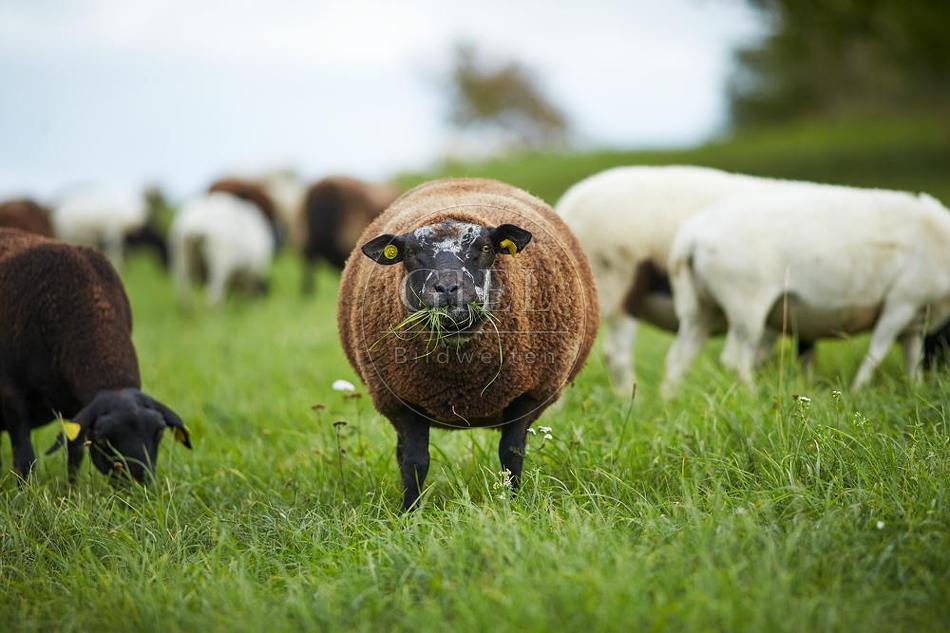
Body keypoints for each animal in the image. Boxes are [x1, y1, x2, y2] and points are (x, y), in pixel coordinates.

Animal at [0, 228, 191, 482]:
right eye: (102, 439)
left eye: (159, 432)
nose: (139, 483)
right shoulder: (12, 395)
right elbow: (24, 459)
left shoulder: (78, 406)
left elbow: (75, 454)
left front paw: (72, 488)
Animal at [338, 177, 599, 509]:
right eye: (410, 253)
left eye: (486, 247)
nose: (448, 288)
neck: (462, 379)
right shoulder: (402, 399)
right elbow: (414, 461)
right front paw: (409, 512)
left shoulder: (527, 395)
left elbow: (511, 455)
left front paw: (512, 504)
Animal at [660, 185, 950, 396]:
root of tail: (690, 236)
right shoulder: (903, 301)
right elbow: (876, 354)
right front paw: (857, 392)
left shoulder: (916, 319)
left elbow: (912, 359)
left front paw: (916, 391)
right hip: (746, 303)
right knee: (735, 359)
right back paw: (753, 397)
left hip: (699, 309)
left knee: (679, 358)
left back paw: (669, 400)